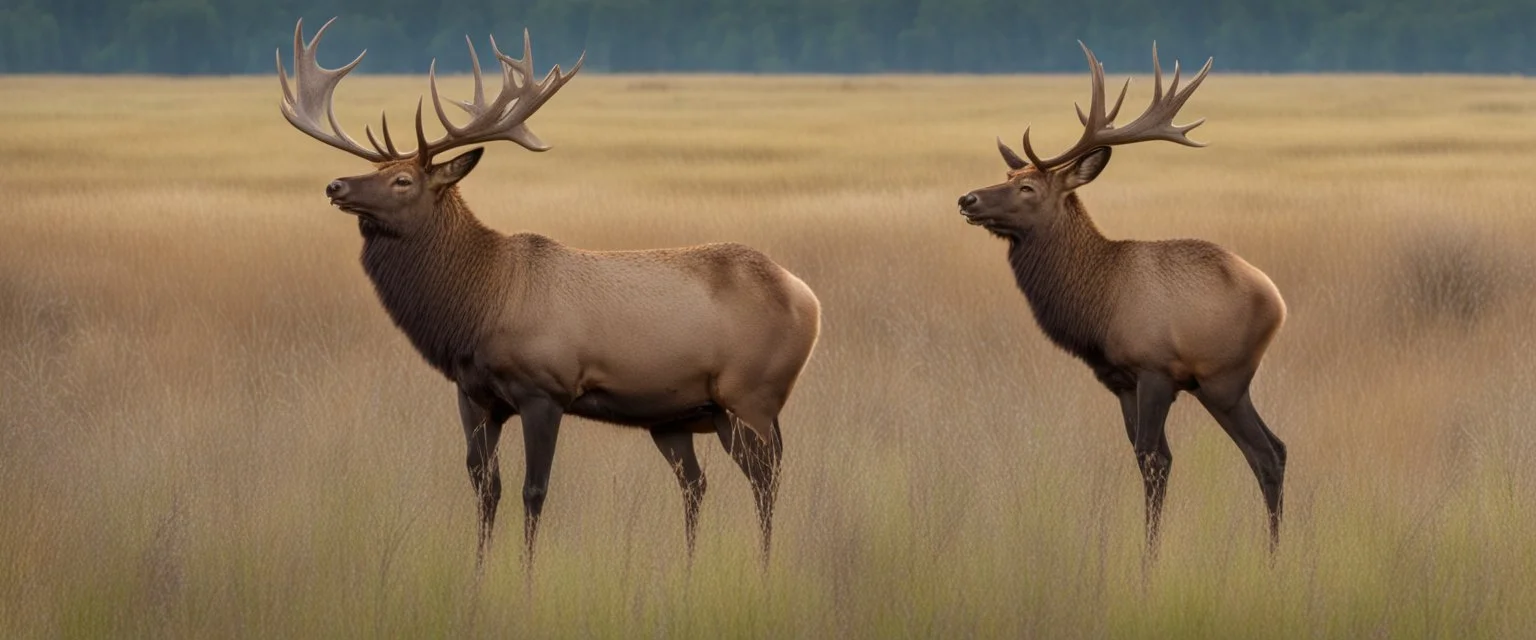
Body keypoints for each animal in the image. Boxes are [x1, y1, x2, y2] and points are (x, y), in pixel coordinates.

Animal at [281, 17, 823, 564]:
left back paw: (763, 565)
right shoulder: (472, 395)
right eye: (376, 170)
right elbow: (486, 490)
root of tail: (807, 296)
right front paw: (478, 572)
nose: (336, 186)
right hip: (679, 415)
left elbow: (533, 491)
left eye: (403, 180)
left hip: (751, 396)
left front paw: (524, 573)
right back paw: (691, 567)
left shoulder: (544, 388)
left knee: (765, 481)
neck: (477, 307)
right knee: (697, 482)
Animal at [952, 44, 1290, 552]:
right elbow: (1142, 458)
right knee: (1275, 449)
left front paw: (1149, 558)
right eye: (1007, 173)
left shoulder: (1155, 370)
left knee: (1266, 452)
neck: (1096, 304)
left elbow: (1156, 460)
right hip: (1219, 385)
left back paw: (1273, 554)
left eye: (1027, 187)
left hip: (1225, 377)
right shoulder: (1120, 381)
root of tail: (1278, 302)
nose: (967, 199)